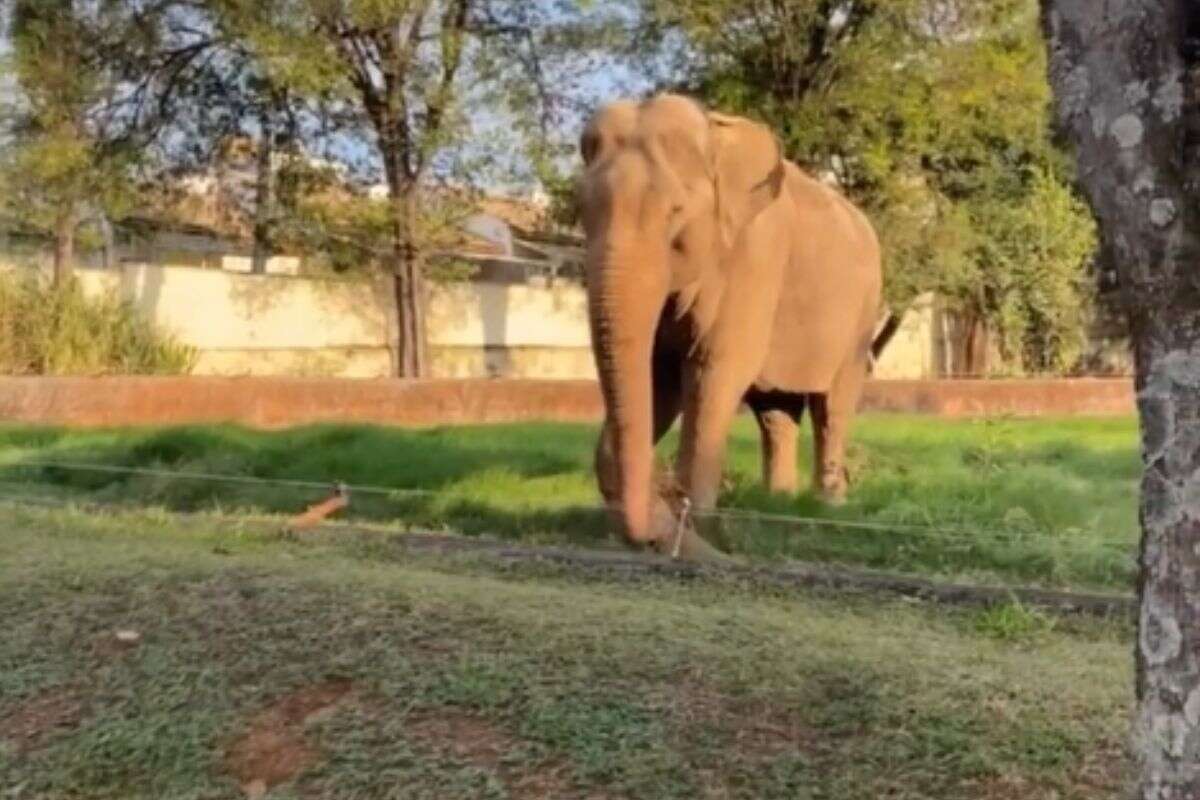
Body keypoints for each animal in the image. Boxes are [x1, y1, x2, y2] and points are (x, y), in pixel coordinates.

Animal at [576, 92, 888, 551]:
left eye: (675, 212)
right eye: (582, 212)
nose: (657, 516)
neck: (713, 135)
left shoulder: (756, 257)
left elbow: (715, 368)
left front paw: (698, 525)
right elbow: (659, 377)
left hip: (861, 313)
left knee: (832, 405)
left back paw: (827, 508)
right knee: (776, 411)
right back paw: (778, 502)